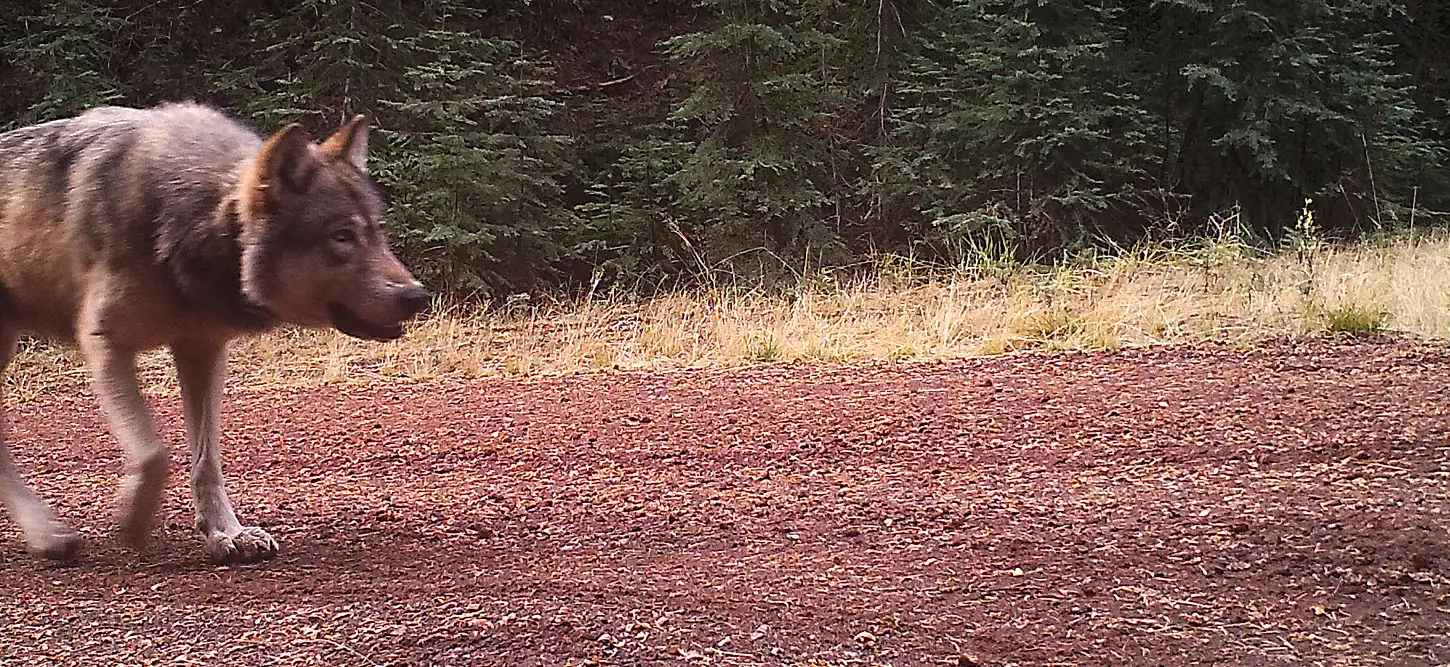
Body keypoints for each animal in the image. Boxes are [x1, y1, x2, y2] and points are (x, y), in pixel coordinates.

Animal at [0, 102, 429, 564]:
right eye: (342, 237)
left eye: (377, 232)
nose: (417, 295)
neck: (195, 216)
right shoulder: (105, 343)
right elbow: (156, 454)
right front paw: (132, 519)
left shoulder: (203, 351)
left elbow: (207, 461)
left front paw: (227, 533)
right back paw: (47, 533)